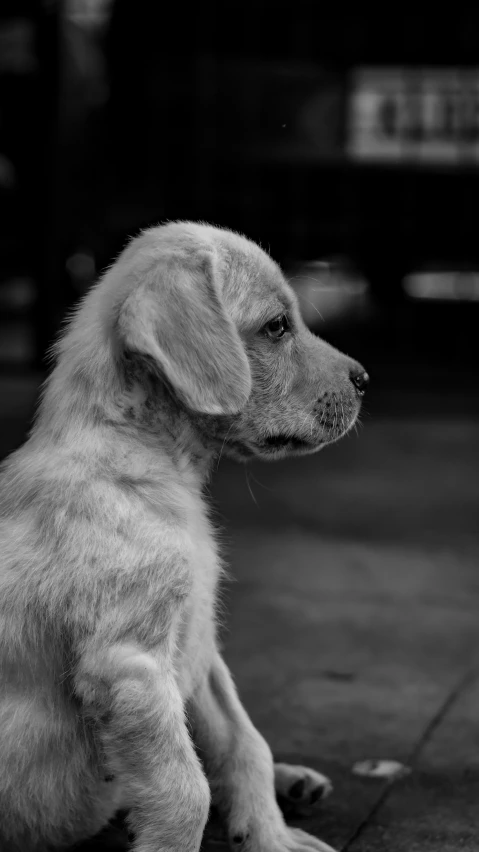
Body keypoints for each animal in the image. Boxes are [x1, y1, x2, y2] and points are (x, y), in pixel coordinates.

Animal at [0, 221, 370, 852]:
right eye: (277, 326)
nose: (366, 380)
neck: (151, 463)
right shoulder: (132, 666)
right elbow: (184, 792)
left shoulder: (198, 645)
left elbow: (246, 744)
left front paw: (272, 835)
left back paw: (295, 783)